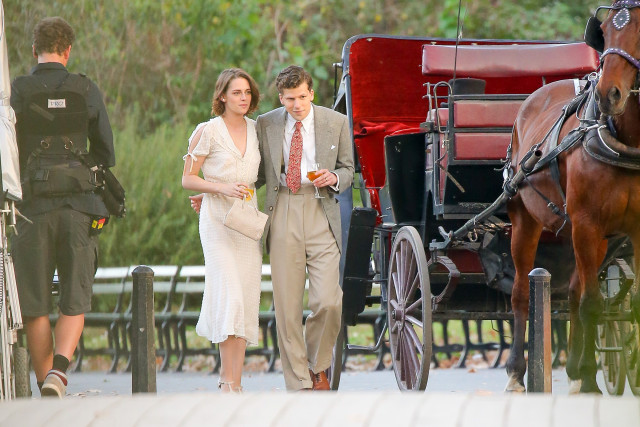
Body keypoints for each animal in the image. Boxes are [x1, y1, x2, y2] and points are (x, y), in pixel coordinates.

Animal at [504, 0, 640, 394]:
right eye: (605, 32)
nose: (609, 94)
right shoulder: (586, 223)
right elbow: (592, 303)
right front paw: (592, 380)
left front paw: (587, 372)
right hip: (527, 221)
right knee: (520, 293)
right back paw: (517, 371)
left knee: (575, 290)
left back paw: (577, 370)